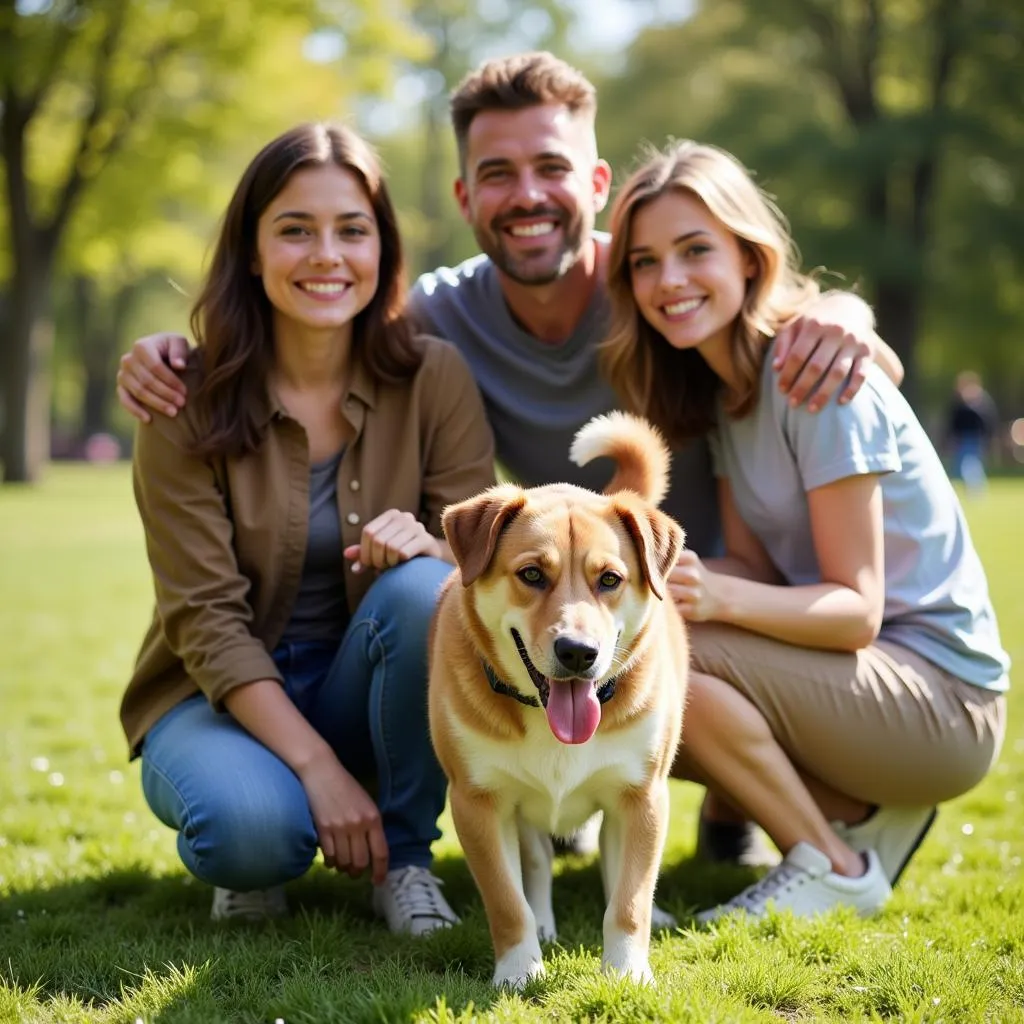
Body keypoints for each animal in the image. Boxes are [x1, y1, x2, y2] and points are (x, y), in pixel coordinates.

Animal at [425, 411, 688, 987]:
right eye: (531, 574)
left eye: (609, 579)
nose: (578, 652)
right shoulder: (478, 802)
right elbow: (508, 900)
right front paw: (518, 969)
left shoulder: (641, 796)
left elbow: (628, 899)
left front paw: (627, 971)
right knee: (538, 865)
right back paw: (544, 924)